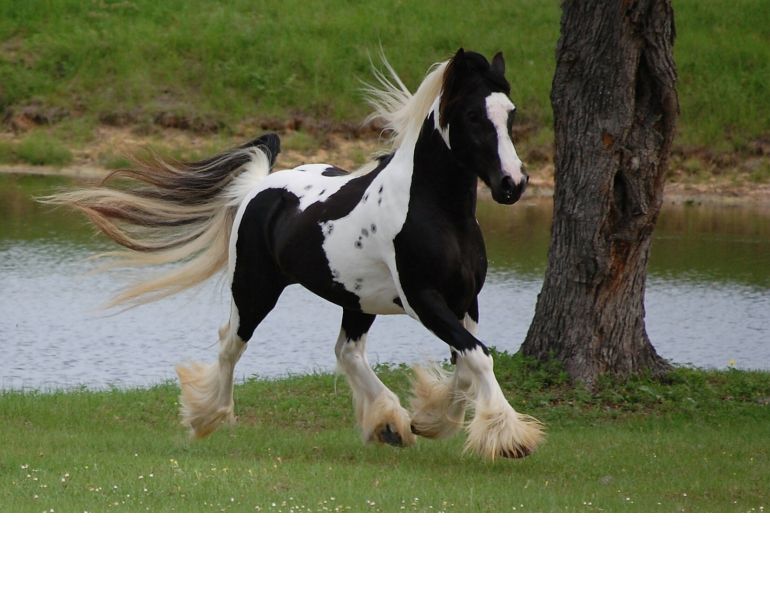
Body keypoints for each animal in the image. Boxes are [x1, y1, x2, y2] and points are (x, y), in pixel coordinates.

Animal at [48, 48, 544, 460]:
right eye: (472, 116)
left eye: (511, 114)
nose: (513, 184)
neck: (435, 211)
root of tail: (258, 187)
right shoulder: (424, 298)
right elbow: (477, 355)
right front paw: (510, 438)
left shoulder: (466, 298)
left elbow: (467, 359)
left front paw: (432, 420)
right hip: (255, 289)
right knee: (231, 343)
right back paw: (207, 417)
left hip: (356, 299)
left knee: (347, 352)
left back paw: (388, 423)